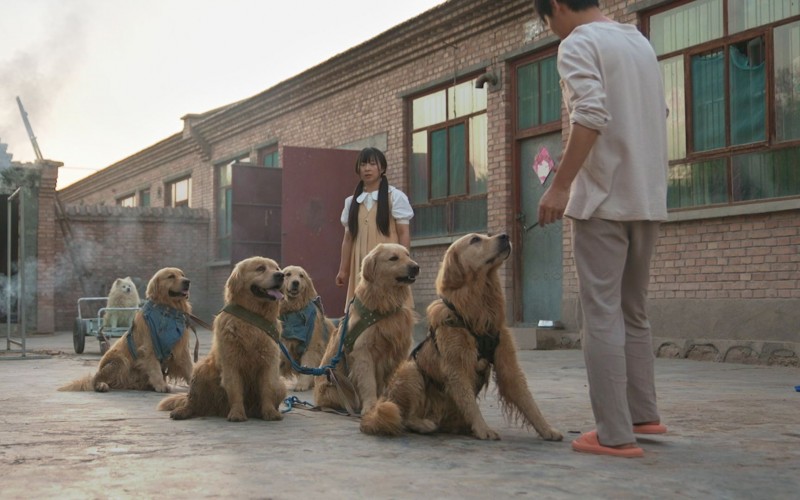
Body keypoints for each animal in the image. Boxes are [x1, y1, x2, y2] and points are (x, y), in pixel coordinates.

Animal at [59, 268, 194, 392]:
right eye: (171, 276)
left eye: (182, 275)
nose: (187, 281)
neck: (168, 311)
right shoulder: (149, 346)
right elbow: (155, 368)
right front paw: (161, 385)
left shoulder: (181, 347)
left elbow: (189, 366)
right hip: (119, 360)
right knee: (97, 379)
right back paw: (101, 385)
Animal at [159, 258, 288, 422]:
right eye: (260, 268)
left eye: (277, 268)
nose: (281, 275)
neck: (252, 318)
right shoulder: (231, 363)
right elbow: (235, 390)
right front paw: (237, 413)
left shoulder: (269, 363)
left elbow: (267, 389)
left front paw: (270, 412)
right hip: (201, 369)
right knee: (193, 402)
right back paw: (182, 411)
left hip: (281, 384)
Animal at [280, 264, 336, 392]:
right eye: (288, 274)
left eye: (301, 276)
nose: (296, 283)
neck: (294, 309)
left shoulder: (312, 346)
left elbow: (307, 366)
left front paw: (302, 384)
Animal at [314, 244, 418, 416]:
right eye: (393, 258)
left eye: (408, 255)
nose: (416, 267)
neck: (385, 305)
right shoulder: (363, 352)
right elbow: (369, 383)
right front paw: (371, 407)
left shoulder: (398, 351)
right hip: (336, 387)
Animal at [360, 234, 564, 442]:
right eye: (475, 239)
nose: (505, 236)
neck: (479, 305)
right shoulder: (456, 366)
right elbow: (470, 403)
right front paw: (483, 428)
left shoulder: (507, 362)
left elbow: (527, 400)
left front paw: (547, 429)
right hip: (410, 371)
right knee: (403, 416)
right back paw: (423, 424)